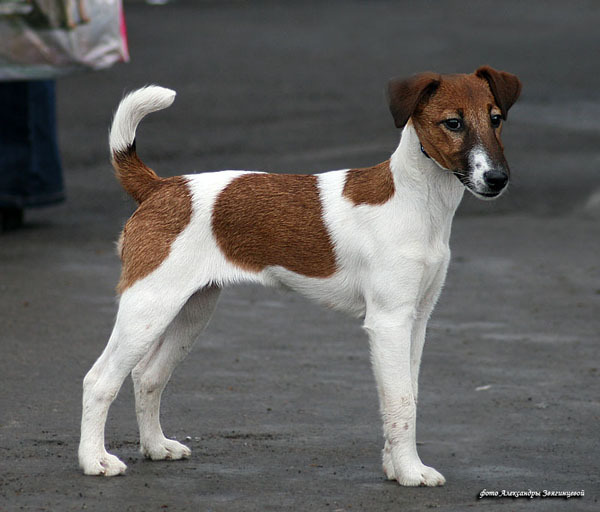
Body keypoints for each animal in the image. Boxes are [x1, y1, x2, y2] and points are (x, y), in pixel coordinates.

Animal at [78, 66, 520, 486]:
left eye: (496, 118)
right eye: (453, 123)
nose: (497, 179)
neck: (416, 201)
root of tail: (160, 188)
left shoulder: (417, 319)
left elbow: (405, 396)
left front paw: (394, 468)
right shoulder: (389, 321)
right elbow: (401, 403)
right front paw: (411, 472)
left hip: (191, 312)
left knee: (148, 376)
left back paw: (155, 447)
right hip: (149, 307)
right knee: (99, 380)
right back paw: (94, 460)